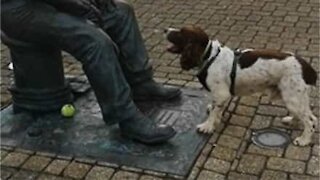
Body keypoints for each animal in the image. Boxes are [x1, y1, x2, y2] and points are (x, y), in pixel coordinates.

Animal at [165, 25, 318, 146]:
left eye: (181, 32)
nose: (165, 29)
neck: (210, 57)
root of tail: (308, 68)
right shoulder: (223, 95)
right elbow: (217, 108)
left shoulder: (221, 93)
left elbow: (214, 111)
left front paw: (207, 126)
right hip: (295, 97)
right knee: (308, 116)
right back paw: (291, 120)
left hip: (293, 97)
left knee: (310, 121)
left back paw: (304, 140)